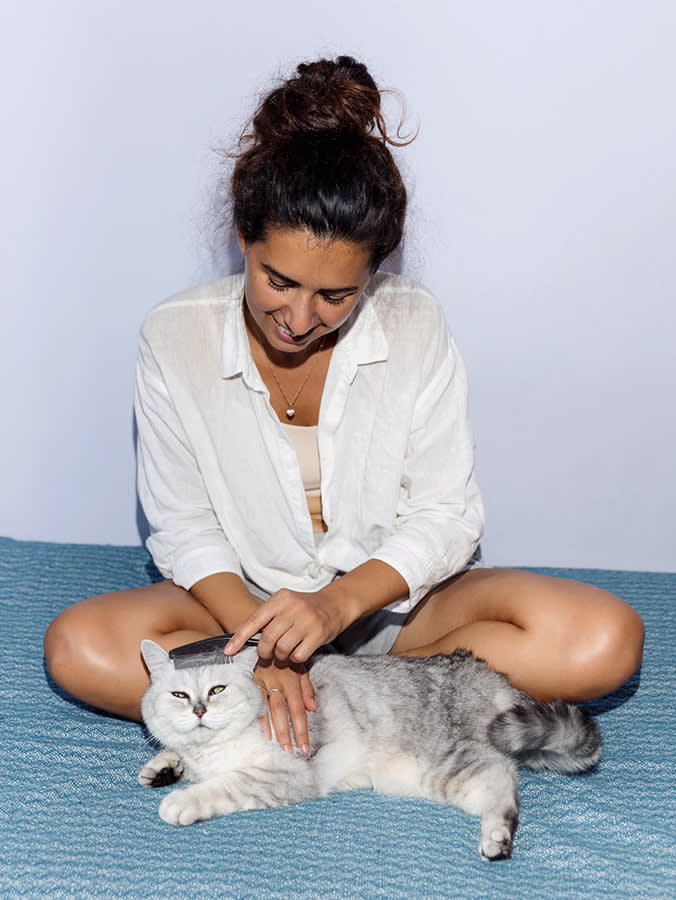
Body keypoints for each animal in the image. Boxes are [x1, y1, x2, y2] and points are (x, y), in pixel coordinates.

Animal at [139, 636, 604, 860]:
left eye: (217, 690)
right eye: (179, 695)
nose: (199, 710)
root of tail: (493, 678)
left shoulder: (284, 773)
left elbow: (222, 786)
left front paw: (180, 801)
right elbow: (180, 757)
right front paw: (163, 767)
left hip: (454, 763)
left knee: (504, 787)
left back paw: (496, 840)